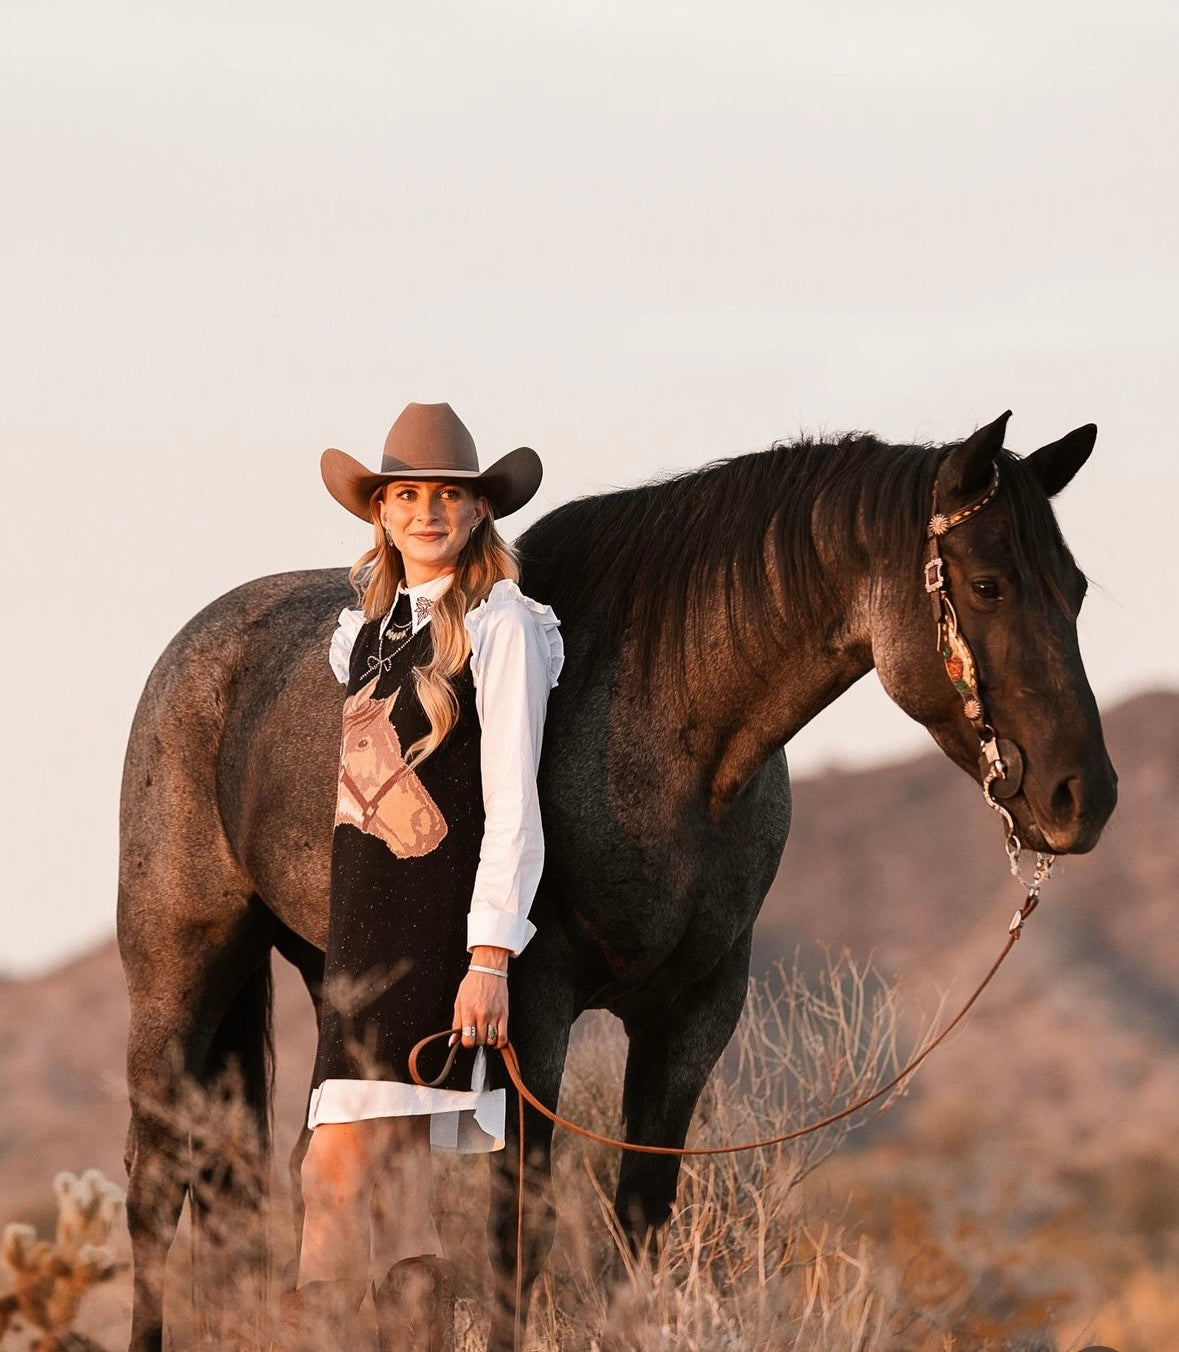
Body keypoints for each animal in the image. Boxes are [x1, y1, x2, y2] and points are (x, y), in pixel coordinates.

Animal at [117, 411, 1114, 1352]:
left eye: (1074, 589)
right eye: (986, 585)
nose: (1083, 796)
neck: (661, 727)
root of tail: (195, 651)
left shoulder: (692, 1017)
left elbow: (636, 1231)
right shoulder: (531, 1016)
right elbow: (518, 1237)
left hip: (339, 993)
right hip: (178, 979)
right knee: (156, 1187)